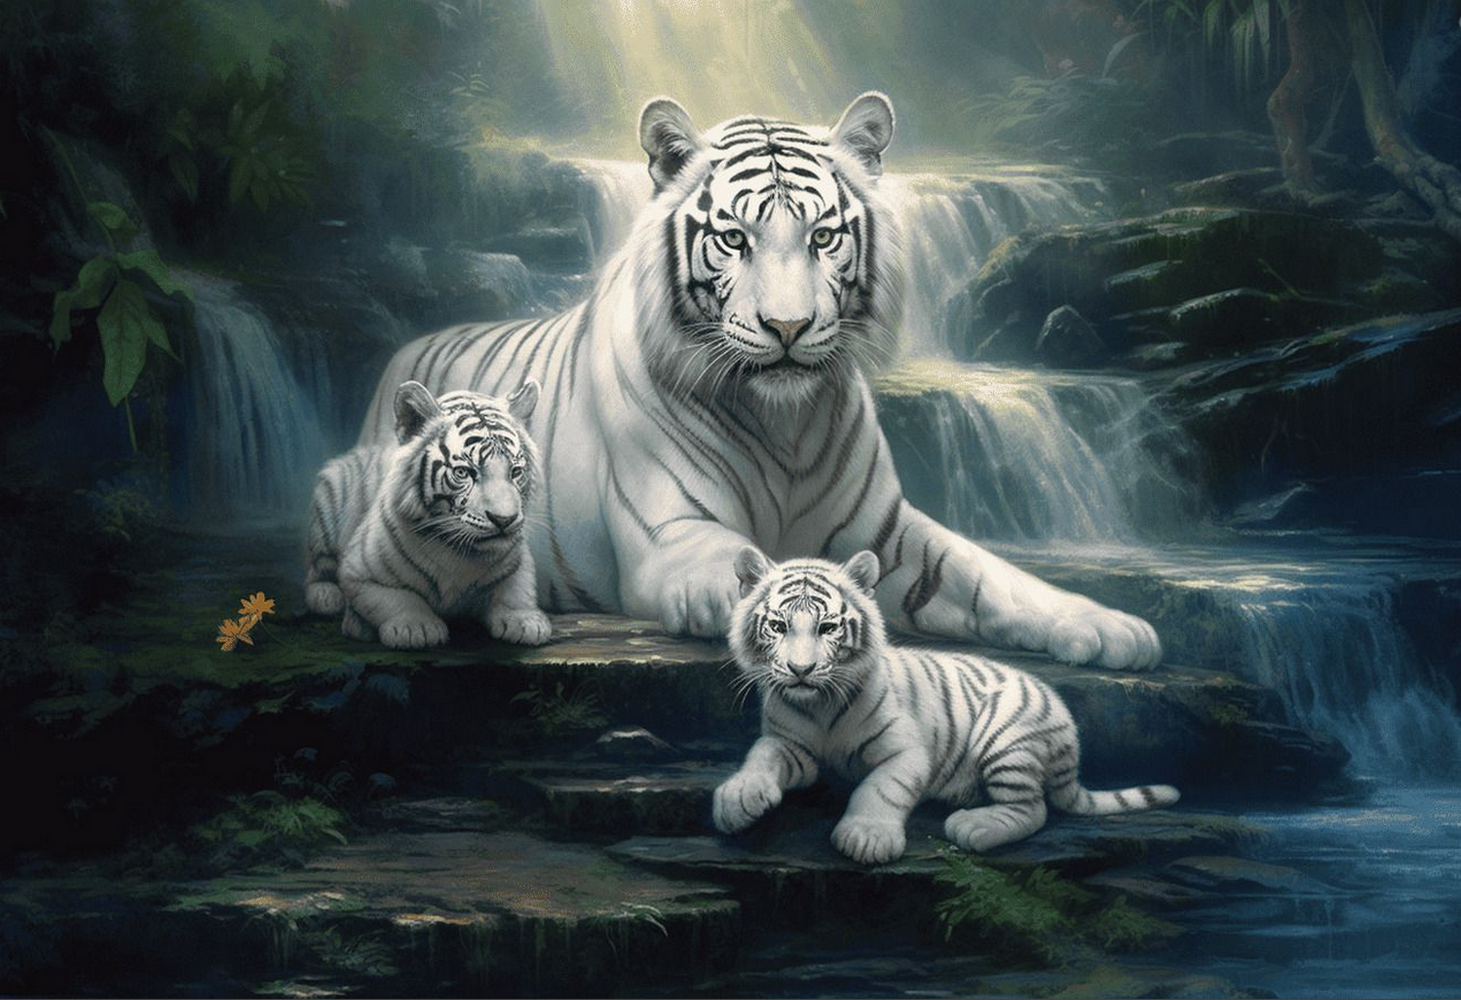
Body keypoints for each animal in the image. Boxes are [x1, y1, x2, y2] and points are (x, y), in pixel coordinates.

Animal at [305, 379, 550, 649]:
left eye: (515, 472)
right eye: (464, 472)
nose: (504, 520)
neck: (461, 552)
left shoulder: (517, 563)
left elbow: (516, 590)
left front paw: (527, 622)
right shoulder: (358, 572)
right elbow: (397, 598)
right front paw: (416, 628)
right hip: (330, 497)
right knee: (318, 566)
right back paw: (326, 596)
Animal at [354, 92, 1162, 670]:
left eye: (823, 236)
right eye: (734, 238)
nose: (788, 327)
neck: (786, 423)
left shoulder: (887, 531)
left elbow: (994, 577)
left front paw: (1108, 627)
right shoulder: (674, 533)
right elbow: (742, 568)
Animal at [714, 549, 1181, 864]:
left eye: (828, 627)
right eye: (778, 626)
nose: (801, 669)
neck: (820, 706)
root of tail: (1063, 716)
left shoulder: (906, 752)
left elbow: (880, 787)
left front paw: (867, 837)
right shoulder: (791, 745)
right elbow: (762, 754)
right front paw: (739, 798)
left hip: (1006, 741)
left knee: (1033, 809)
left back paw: (972, 825)